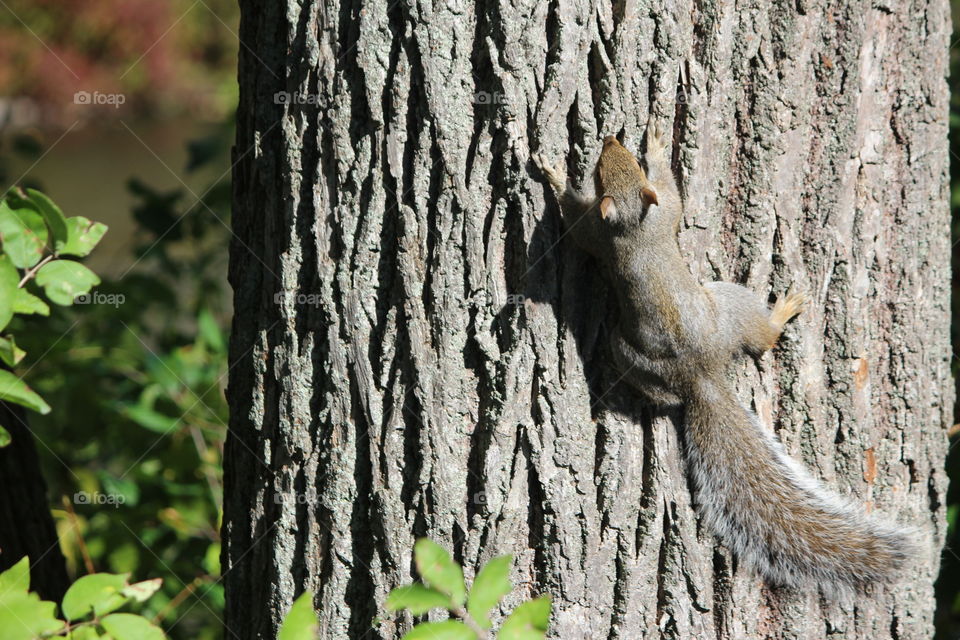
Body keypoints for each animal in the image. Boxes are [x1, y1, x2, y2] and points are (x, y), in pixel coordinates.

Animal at [534, 126, 915, 594]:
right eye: (602, 172)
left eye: (623, 165)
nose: (609, 138)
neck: (633, 223)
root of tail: (703, 376)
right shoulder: (605, 230)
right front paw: (557, 172)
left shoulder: (638, 218)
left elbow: (654, 197)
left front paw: (647, 146)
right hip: (709, 315)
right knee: (750, 347)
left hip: (693, 319)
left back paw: (782, 311)